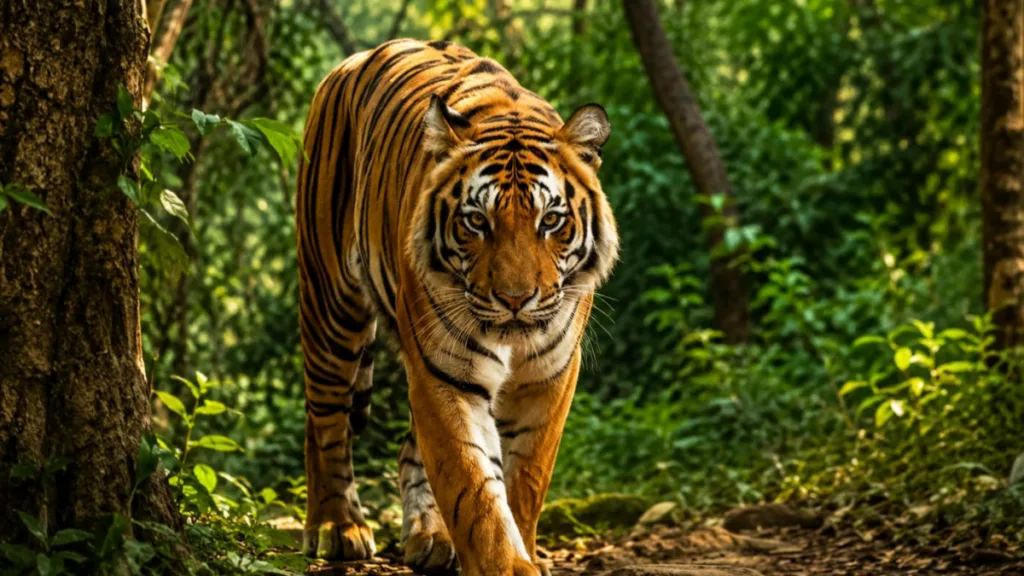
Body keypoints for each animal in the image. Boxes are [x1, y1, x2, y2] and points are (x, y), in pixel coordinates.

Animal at [295, 39, 619, 575]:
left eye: (551, 221)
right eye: (476, 221)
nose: (515, 300)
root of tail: (355, 59)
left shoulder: (549, 377)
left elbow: (524, 481)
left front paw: (524, 551)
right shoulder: (443, 371)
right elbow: (473, 486)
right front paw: (505, 565)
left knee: (408, 449)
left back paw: (430, 537)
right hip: (330, 303)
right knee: (325, 423)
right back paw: (337, 527)